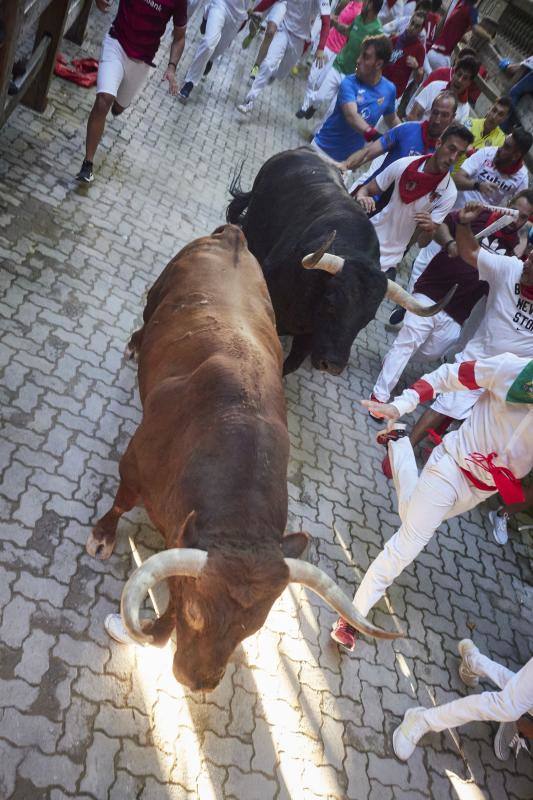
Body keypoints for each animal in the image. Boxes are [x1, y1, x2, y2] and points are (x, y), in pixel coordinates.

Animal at [86, 227, 400, 692]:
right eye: (197, 614)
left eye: (252, 628)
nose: (199, 682)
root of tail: (232, 236)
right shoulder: (134, 466)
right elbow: (121, 503)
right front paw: (103, 536)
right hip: (156, 292)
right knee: (144, 315)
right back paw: (133, 346)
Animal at [227, 146, 456, 376]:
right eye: (331, 304)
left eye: (366, 319)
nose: (333, 365)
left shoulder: (308, 340)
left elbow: (288, 365)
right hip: (252, 227)